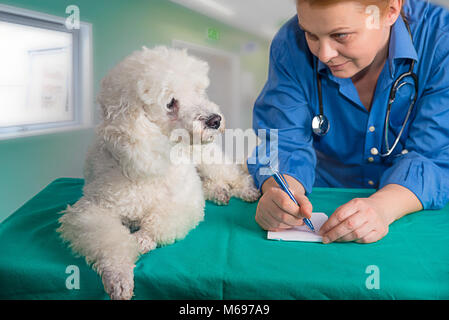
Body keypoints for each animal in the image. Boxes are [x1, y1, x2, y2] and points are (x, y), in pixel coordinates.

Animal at [57, 46, 260, 298]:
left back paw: (244, 189)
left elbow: (159, 220)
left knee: (230, 173)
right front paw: (118, 276)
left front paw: (143, 238)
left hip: (207, 157)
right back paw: (219, 191)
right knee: (209, 183)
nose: (215, 120)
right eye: (170, 103)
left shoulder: (184, 202)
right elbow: (109, 241)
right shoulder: (92, 211)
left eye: (197, 91)